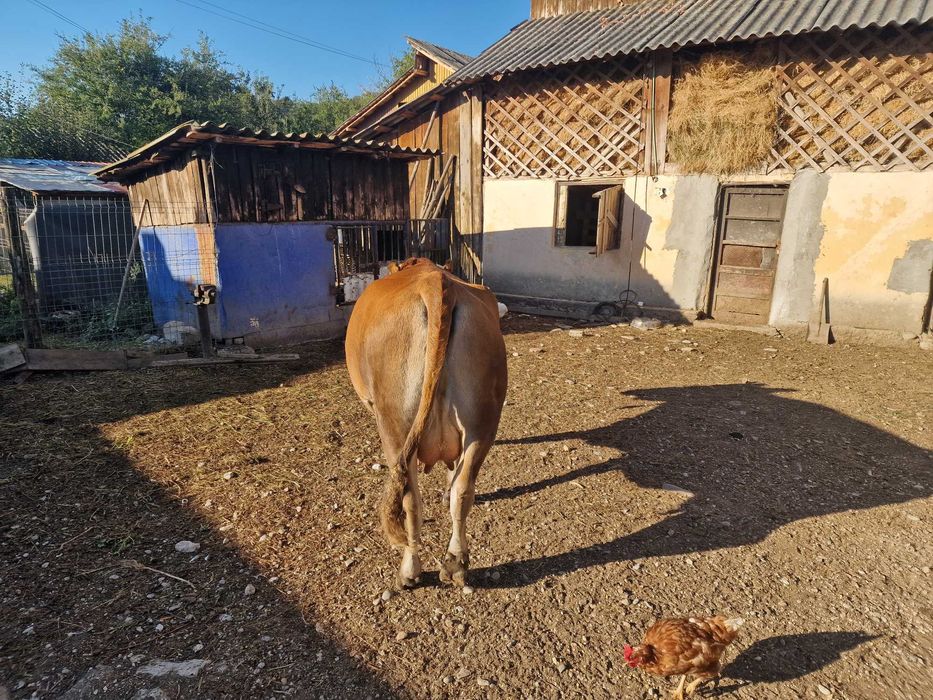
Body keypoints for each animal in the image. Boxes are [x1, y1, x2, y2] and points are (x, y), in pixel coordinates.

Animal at [345, 258, 507, 588]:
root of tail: (435, 283)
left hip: (396, 429)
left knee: (410, 499)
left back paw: (409, 569)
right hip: (482, 423)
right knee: (463, 491)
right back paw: (455, 563)